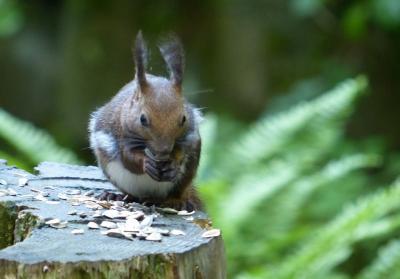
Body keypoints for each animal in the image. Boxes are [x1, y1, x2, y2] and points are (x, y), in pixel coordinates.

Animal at [89, 31, 205, 211]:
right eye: (142, 119)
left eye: (183, 119)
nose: (163, 151)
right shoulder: (122, 134)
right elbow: (128, 157)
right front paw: (145, 163)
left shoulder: (189, 136)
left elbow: (181, 151)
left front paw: (173, 164)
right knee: (133, 194)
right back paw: (118, 196)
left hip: (185, 177)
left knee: (173, 193)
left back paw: (175, 201)